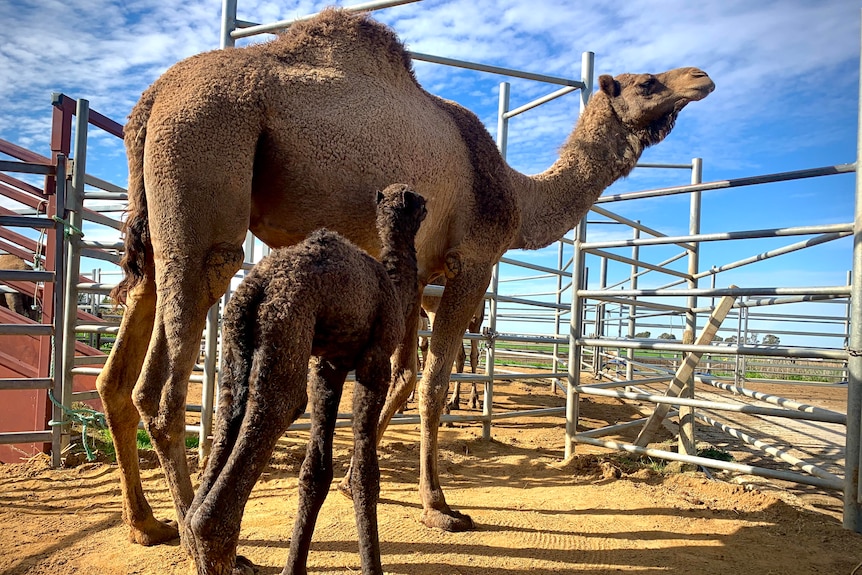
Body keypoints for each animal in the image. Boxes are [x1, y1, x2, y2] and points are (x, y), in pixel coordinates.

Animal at [185, 186, 426, 575]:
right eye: (419, 202)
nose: (427, 205)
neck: (392, 286)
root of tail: (256, 285)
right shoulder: (374, 360)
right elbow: (365, 475)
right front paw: (372, 567)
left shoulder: (328, 365)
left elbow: (315, 472)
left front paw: (294, 567)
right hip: (286, 323)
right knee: (279, 405)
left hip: (235, 348)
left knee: (230, 414)